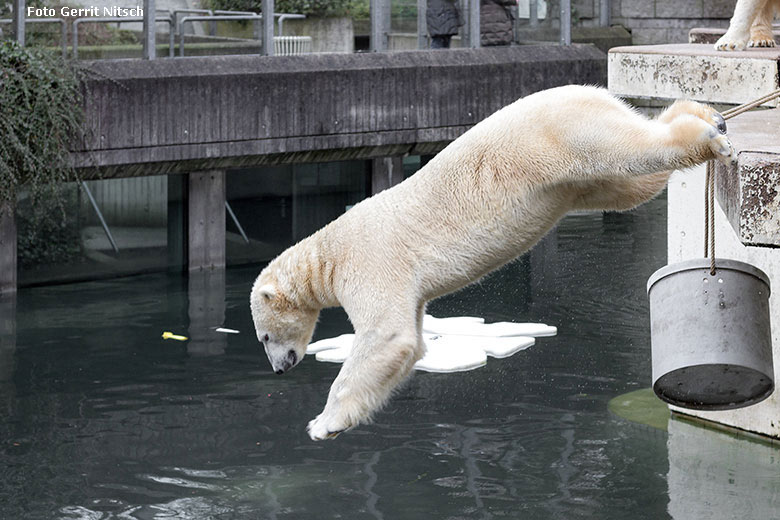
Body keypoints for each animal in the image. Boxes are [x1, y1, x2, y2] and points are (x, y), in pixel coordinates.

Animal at [251, 84, 736, 438]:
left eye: (263, 336)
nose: (278, 367)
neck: (328, 253)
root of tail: (589, 90)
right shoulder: (406, 288)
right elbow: (412, 343)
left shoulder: (372, 261)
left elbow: (385, 336)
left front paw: (322, 424)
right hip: (583, 175)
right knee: (634, 179)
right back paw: (704, 113)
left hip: (563, 135)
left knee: (634, 151)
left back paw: (710, 137)